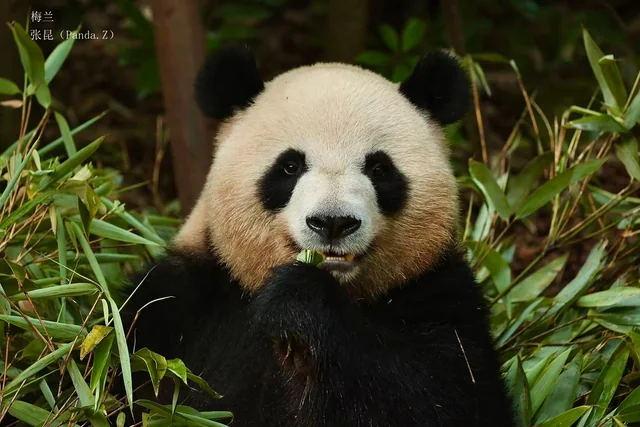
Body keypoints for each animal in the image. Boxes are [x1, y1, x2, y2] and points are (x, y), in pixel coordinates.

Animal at [124, 46, 516, 427]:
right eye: (289, 166)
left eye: (379, 169)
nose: (333, 223)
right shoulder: (179, 303)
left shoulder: (439, 292)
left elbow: (446, 396)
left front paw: (298, 299)